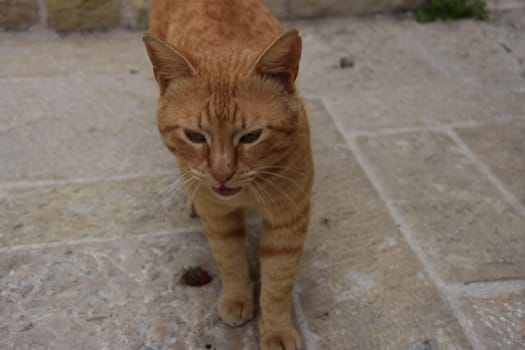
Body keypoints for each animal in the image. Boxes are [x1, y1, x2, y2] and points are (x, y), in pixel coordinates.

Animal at [143, 1, 314, 348]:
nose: (222, 172)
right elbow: (230, 259)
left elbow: (278, 281)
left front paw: (276, 329)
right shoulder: (219, 216)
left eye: (251, 137)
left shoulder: (288, 218)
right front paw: (237, 298)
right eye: (195, 136)